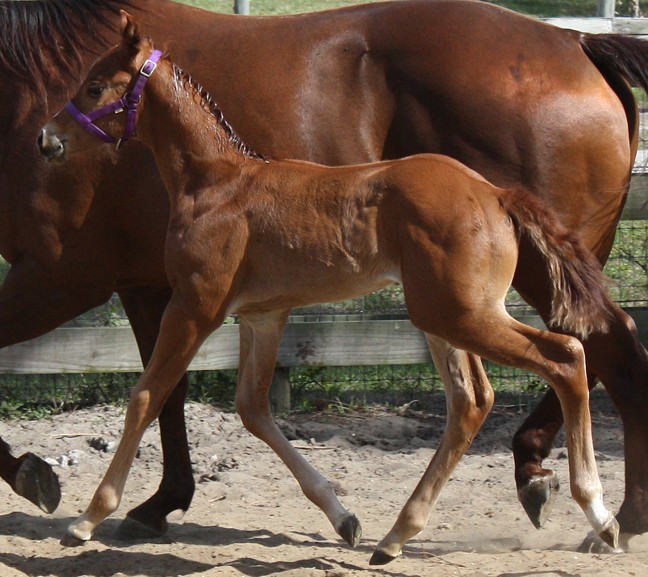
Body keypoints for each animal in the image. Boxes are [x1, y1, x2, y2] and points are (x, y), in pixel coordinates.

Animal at [3, 0, 648, 547]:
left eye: (93, 85)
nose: (47, 139)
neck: (219, 180)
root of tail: (494, 194)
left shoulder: (171, 299)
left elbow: (147, 395)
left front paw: (87, 513)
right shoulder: (255, 314)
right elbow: (248, 407)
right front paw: (342, 517)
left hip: (462, 311)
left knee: (574, 354)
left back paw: (602, 514)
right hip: (448, 315)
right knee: (482, 395)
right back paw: (403, 533)